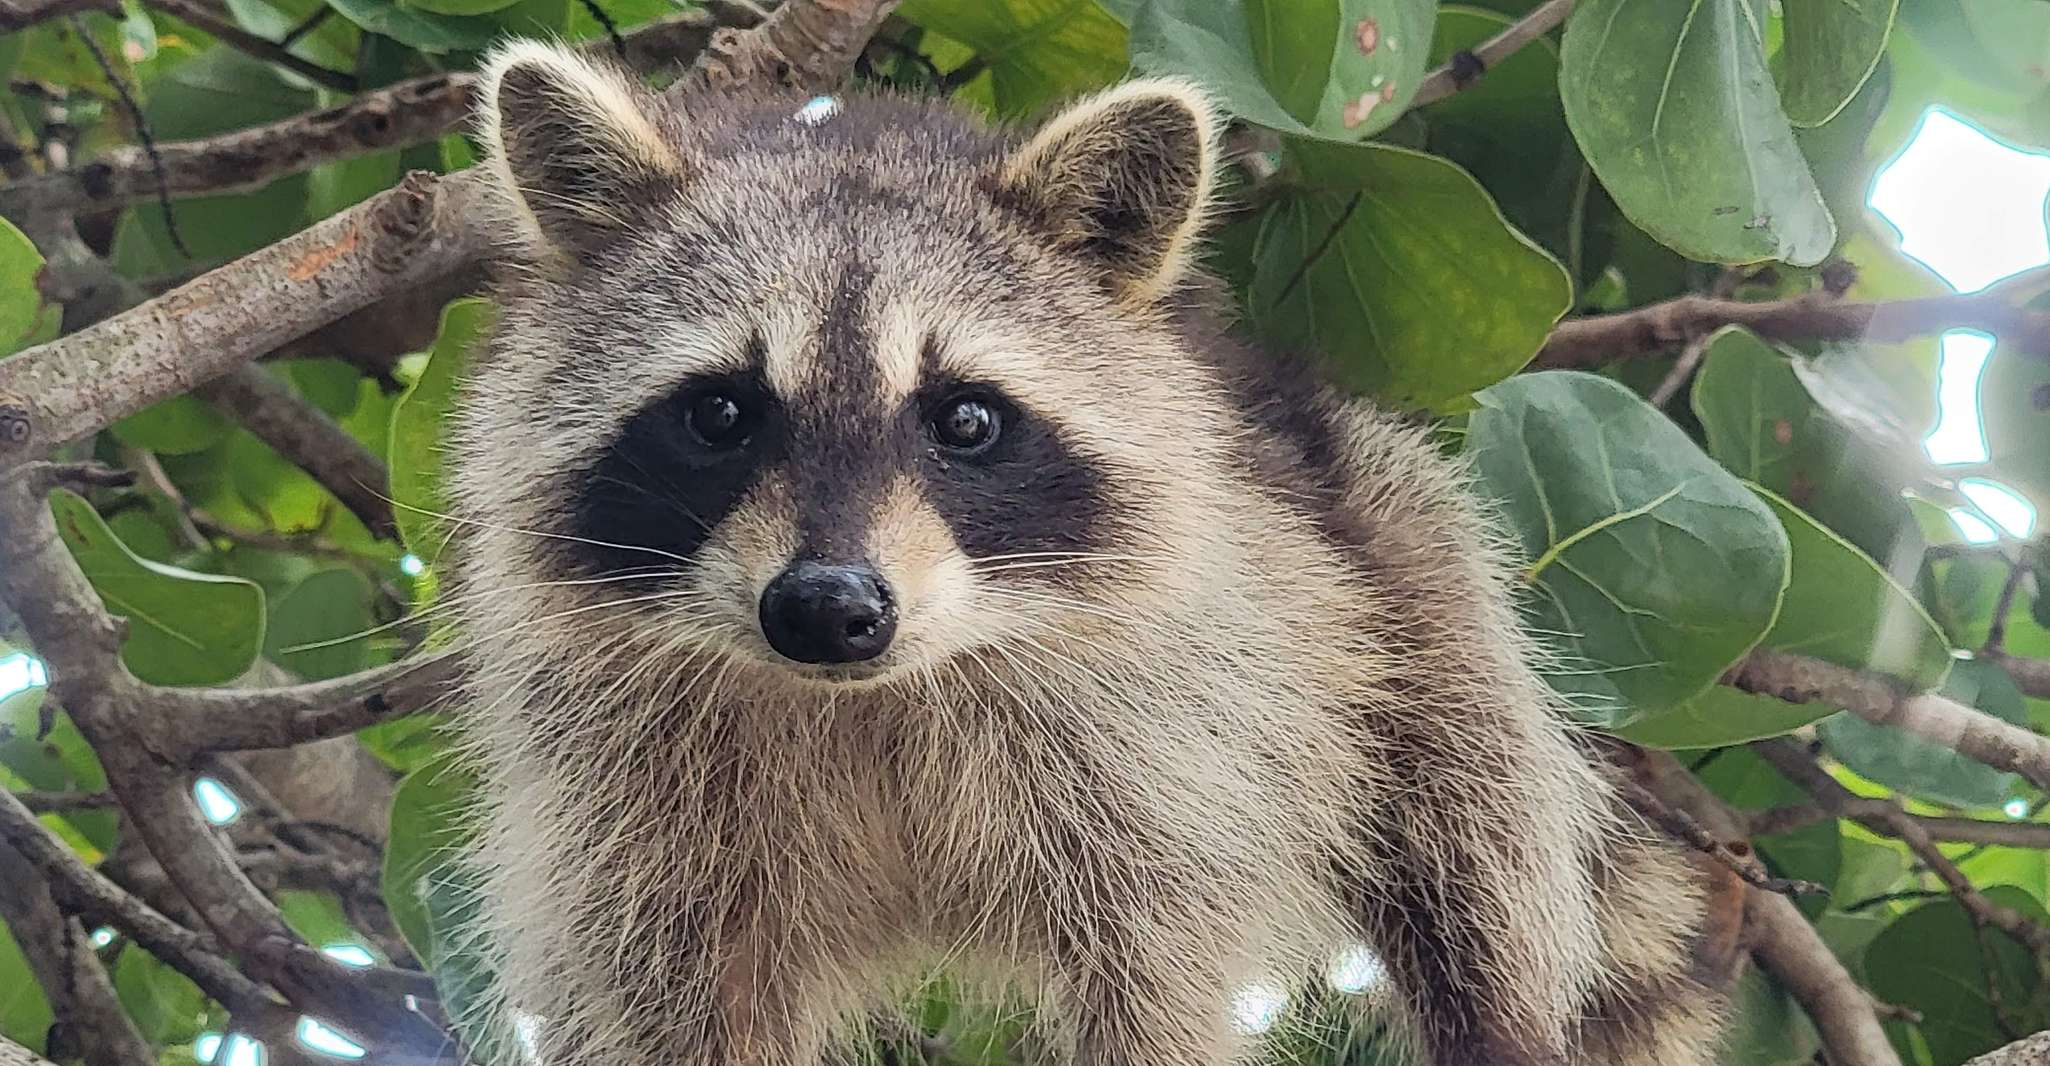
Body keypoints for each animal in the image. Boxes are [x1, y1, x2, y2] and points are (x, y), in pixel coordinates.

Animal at [448, 39, 1730, 1066]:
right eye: (719, 413)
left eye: (965, 419)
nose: (826, 607)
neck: (879, 694)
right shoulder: (628, 812)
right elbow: (666, 990)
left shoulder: (1172, 752)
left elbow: (1158, 976)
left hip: (1415, 572)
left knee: (1476, 855)